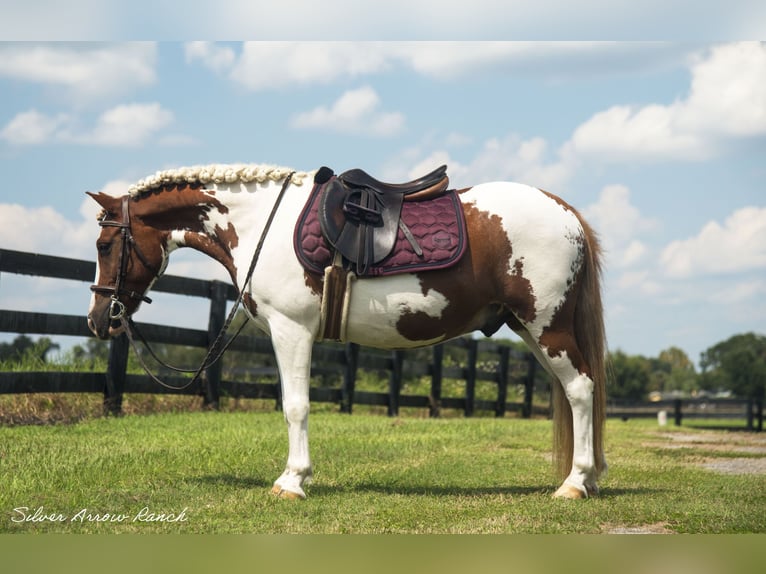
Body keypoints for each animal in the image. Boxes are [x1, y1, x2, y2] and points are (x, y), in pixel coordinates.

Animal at [87, 162, 608, 500]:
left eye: (106, 243)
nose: (98, 319)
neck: (260, 225)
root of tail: (565, 212)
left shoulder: (291, 331)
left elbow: (296, 407)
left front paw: (293, 481)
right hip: (530, 329)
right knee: (574, 393)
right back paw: (586, 477)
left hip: (546, 327)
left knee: (581, 389)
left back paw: (574, 483)